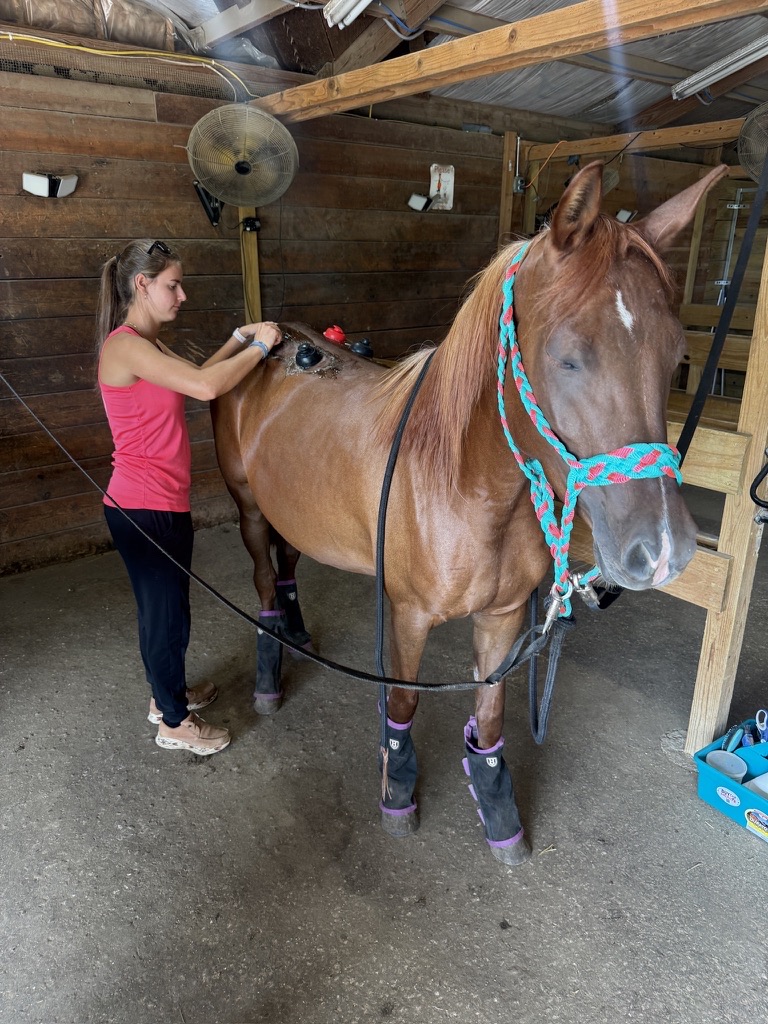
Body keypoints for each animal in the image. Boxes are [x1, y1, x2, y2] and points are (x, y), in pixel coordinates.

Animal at [211, 160, 727, 865]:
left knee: (289, 565)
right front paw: (398, 793)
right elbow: (402, 705)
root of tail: (266, 339)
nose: (666, 550)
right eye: (568, 356)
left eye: (677, 355)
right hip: (250, 510)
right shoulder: (406, 616)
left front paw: (498, 811)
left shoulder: (504, 617)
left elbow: (489, 718)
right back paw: (270, 672)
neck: (464, 488)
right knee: (265, 580)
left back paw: (298, 635)